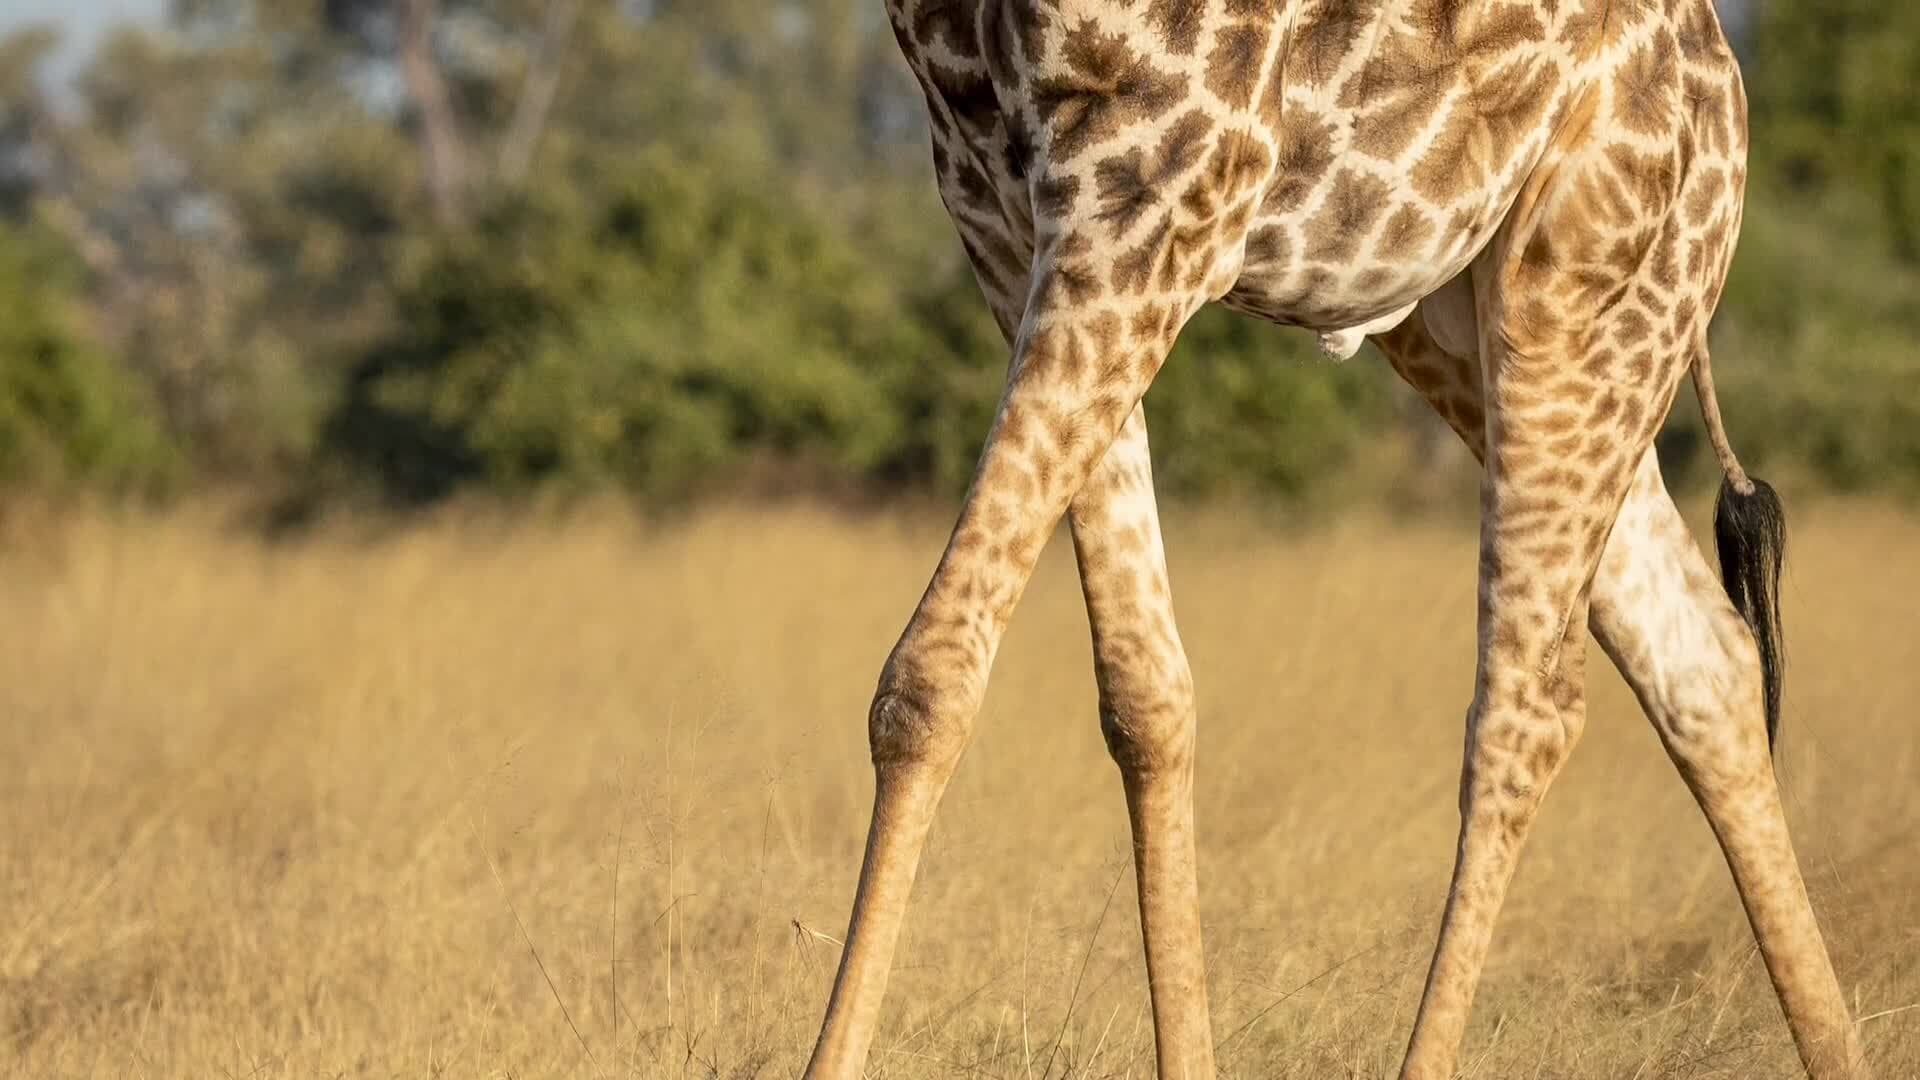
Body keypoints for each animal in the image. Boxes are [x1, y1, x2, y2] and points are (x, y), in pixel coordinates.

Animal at [804, 1, 1868, 1077]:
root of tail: (1725, 85)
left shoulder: (1153, 191)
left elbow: (929, 679)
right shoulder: (1008, 223)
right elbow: (1146, 693)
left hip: (1574, 299)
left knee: (1528, 707)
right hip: (1478, 326)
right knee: (1701, 657)